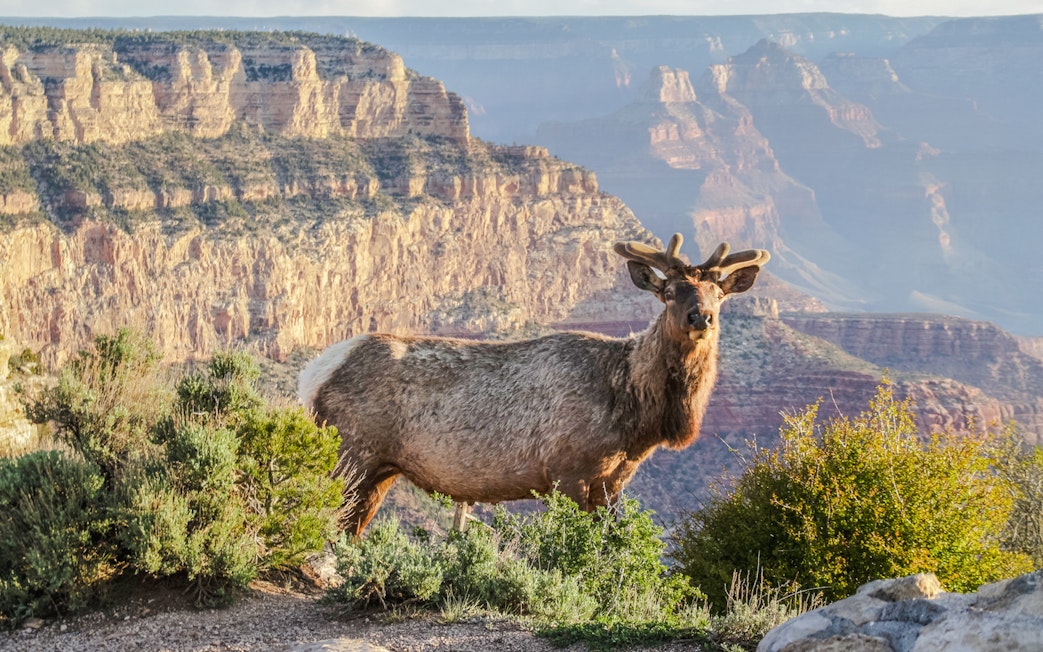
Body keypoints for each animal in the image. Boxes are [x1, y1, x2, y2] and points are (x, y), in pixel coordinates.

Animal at [298, 233, 769, 536]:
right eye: (669, 291)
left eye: (719, 294)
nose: (701, 317)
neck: (636, 414)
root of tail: (311, 374)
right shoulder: (568, 470)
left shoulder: (613, 483)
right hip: (350, 452)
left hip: (380, 470)